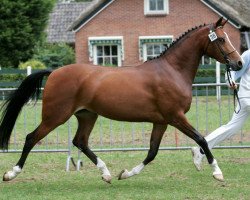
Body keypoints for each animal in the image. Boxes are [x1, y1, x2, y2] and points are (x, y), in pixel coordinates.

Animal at [0, 18, 242, 184]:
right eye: (221, 39)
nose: (238, 63)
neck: (172, 71)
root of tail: (54, 72)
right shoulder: (176, 117)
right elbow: (201, 139)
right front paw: (217, 172)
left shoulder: (161, 121)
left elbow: (152, 152)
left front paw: (125, 174)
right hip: (55, 116)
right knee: (32, 138)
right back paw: (11, 173)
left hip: (87, 115)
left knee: (80, 141)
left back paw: (106, 173)